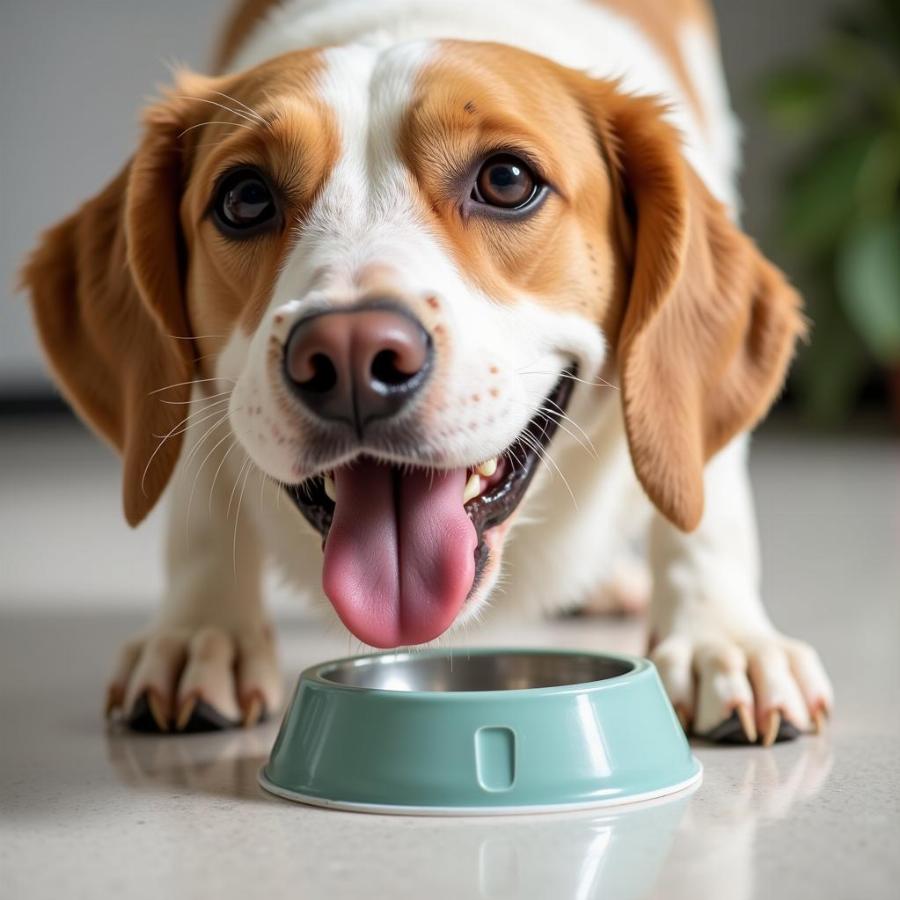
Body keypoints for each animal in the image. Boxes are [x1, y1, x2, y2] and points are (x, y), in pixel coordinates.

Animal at [21, 0, 832, 740]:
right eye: (244, 198)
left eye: (507, 180)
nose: (351, 356)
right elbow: (198, 506)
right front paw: (201, 630)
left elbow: (703, 500)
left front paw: (722, 637)